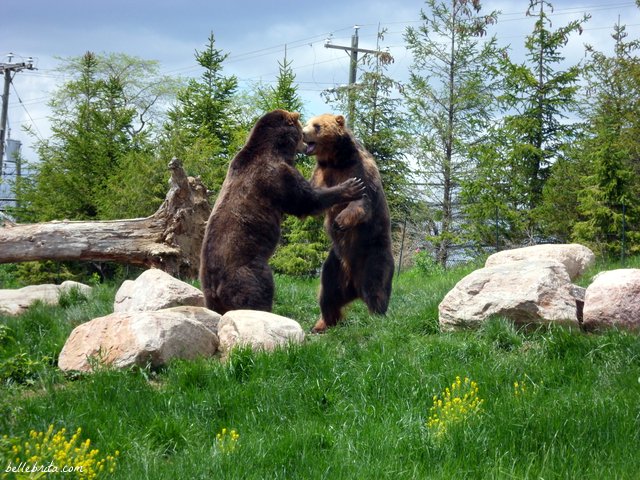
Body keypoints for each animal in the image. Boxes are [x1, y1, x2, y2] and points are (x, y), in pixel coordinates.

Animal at [199, 109, 364, 316]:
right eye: (302, 131)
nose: (305, 144)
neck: (276, 148)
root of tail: (215, 285)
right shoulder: (276, 176)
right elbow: (305, 200)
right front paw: (351, 186)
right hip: (248, 272)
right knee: (259, 291)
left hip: (209, 293)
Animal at [302, 113, 396, 332]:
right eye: (308, 123)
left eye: (317, 126)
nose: (302, 132)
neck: (336, 160)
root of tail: (354, 286)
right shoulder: (322, 172)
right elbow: (313, 197)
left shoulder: (358, 169)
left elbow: (361, 202)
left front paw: (340, 221)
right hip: (335, 265)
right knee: (328, 293)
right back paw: (322, 325)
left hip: (374, 256)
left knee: (376, 288)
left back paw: (376, 319)